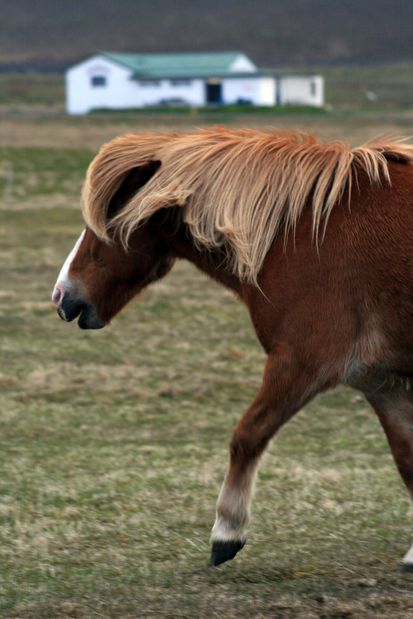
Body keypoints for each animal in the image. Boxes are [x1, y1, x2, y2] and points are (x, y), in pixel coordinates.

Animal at [52, 130, 412, 572]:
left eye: (100, 224)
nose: (61, 296)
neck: (301, 232)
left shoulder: (300, 363)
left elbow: (247, 436)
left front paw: (227, 531)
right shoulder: (380, 381)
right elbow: (407, 458)